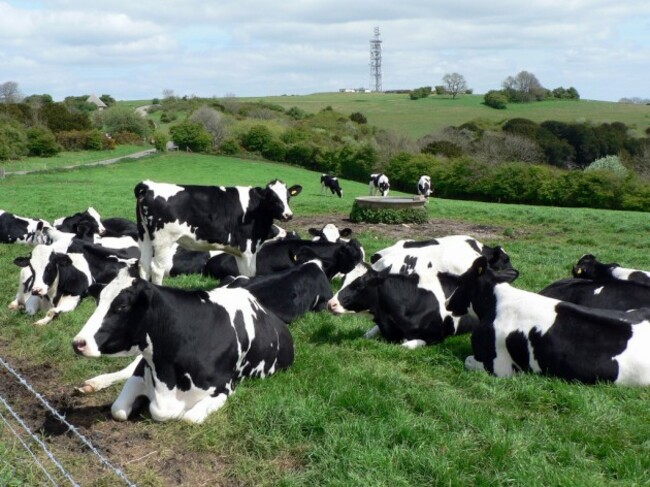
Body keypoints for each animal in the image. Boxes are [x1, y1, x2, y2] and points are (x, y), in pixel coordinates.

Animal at [71, 268, 294, 426]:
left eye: (122, 306)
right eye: (98, 302)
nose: (78, 343)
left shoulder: (224, 387)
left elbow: (189, 418)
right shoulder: (145, 367)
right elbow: (118, 409)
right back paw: (92, 383)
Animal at [135, 180, 302, 286]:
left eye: (288, 197)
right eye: (272, 198)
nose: (288, 215)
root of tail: (149, 185)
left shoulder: (239, 252)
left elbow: (242, 273)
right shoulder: (248, 247)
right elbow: (250, 273)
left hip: (144, 235)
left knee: (143, 265)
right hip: (163, 240)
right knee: (157, 269)